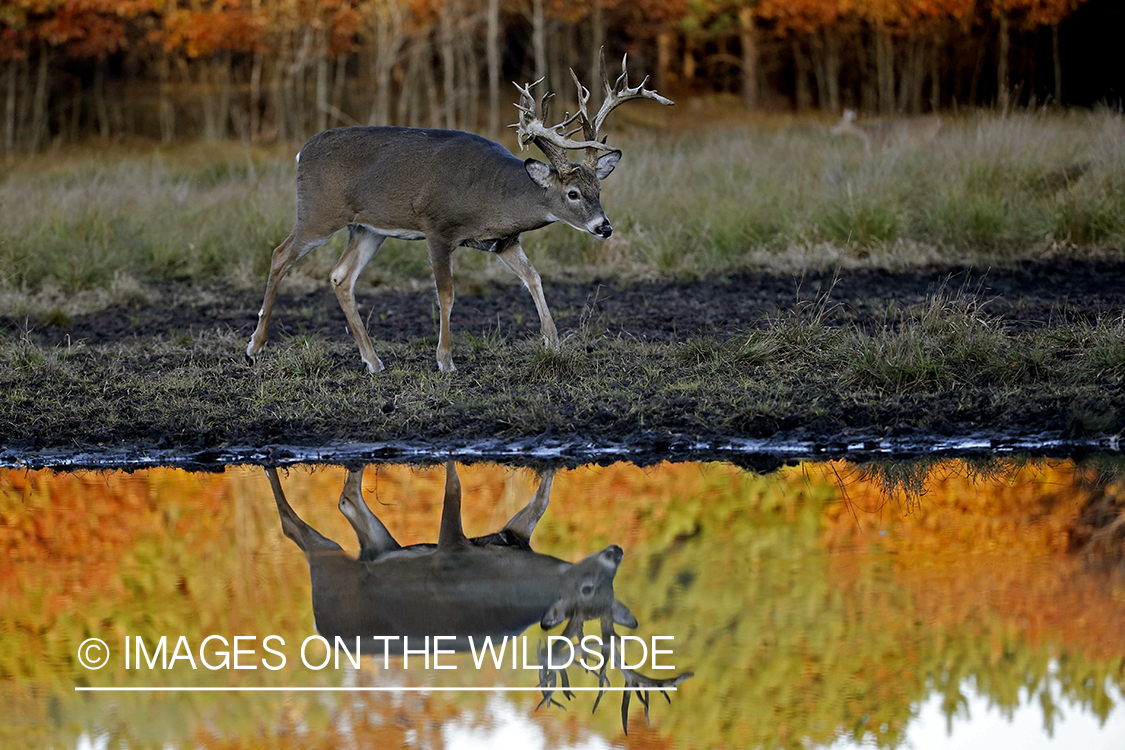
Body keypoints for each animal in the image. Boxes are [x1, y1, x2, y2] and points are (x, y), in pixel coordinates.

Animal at [246, 56, 666, 375]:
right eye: (573, 194)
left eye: (599, 190)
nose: (604, 227)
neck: (492, 197)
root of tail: (301, 152)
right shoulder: (438, 229)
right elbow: (446, 294)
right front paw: (446, 361)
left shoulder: (503, 241)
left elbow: (533, 277)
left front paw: (553, 342)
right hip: (319, 212)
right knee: (280, 255)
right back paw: (255, 346)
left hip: (367, 229)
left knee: (340, 277)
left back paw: (374, 362)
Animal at [267, 461, 688, 737]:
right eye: (586, 589)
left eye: (610, 588)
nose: (616, 551)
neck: (507, 582)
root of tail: (323, 629)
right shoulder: (454, 553)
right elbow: (455, 488)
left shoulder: (506, 538)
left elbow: (541, 502)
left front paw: (551, 471)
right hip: (329, 570)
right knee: (295, 527)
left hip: (374, 549)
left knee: (347, 500)